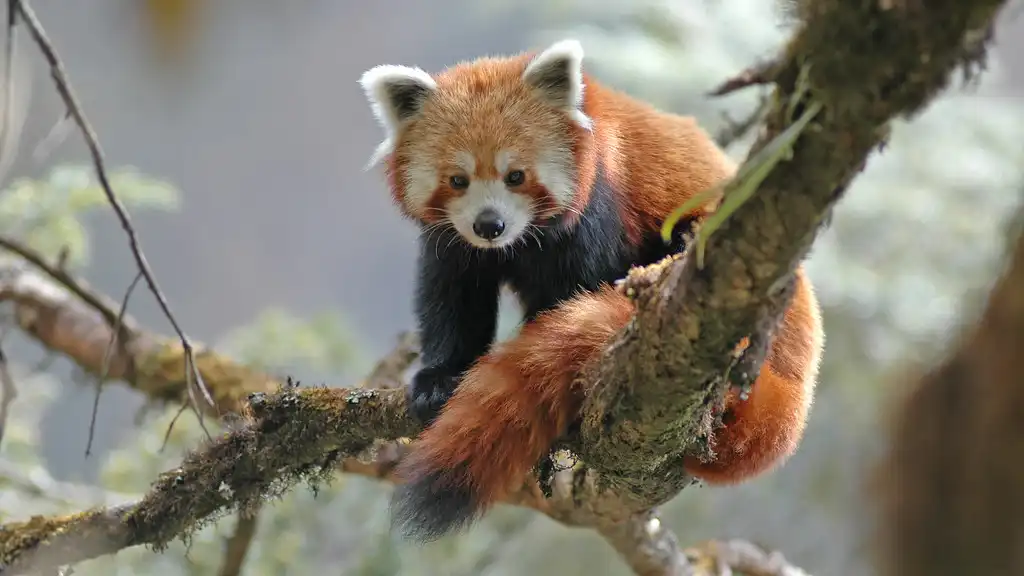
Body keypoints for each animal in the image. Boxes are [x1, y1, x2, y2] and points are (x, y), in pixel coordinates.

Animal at [360, 38, 823, 541]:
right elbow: (452, 301)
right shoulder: (454, 245)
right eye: (457, 180)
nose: (489, 224)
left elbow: (576, 293)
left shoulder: (598, 213)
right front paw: (440, 378)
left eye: (516, 176)